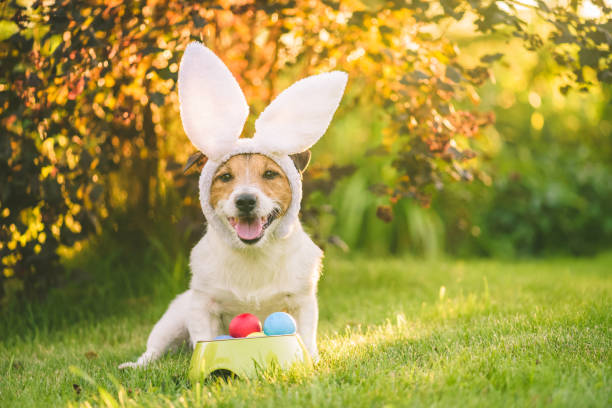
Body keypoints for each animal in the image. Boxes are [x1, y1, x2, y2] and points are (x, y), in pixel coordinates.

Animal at [118, 43, 350, 368]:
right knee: (154, 348)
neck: (253, 254)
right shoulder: (202, 304)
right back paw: (137, 365)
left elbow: (305, 333)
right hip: (174, 316)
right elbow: (203, 336)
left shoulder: (303, 301)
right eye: (226, 177)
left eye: (270, 174)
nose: (245, 200)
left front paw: (311, 360)